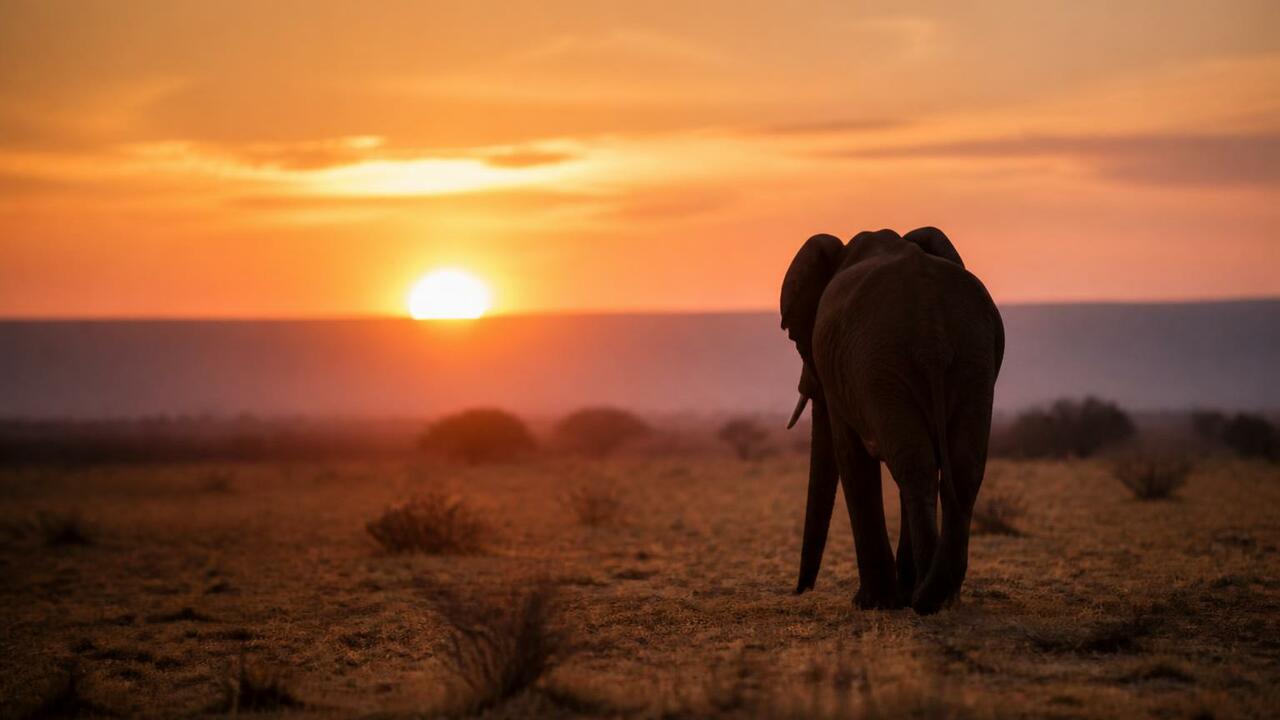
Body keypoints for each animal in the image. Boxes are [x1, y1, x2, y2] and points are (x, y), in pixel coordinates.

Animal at [780, 227, 1004, 614]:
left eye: (796, 338)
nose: (799, 591)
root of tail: (933, 330)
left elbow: (850, 456)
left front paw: (870, 603)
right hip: (970, 360)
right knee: (960, 468)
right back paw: (939, 595)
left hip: (881, 363)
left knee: (915, 467)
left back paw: (922, 599)